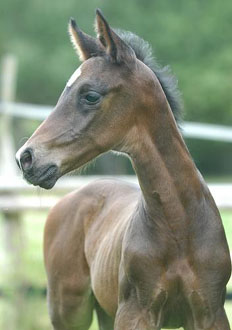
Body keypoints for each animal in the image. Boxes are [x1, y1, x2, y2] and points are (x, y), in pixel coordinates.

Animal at [15, 9, 230, 328]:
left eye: (91, 95)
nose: (26, 158)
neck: (180, 227)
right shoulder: (135, 312)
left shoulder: (210, 312)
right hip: (69, 309)